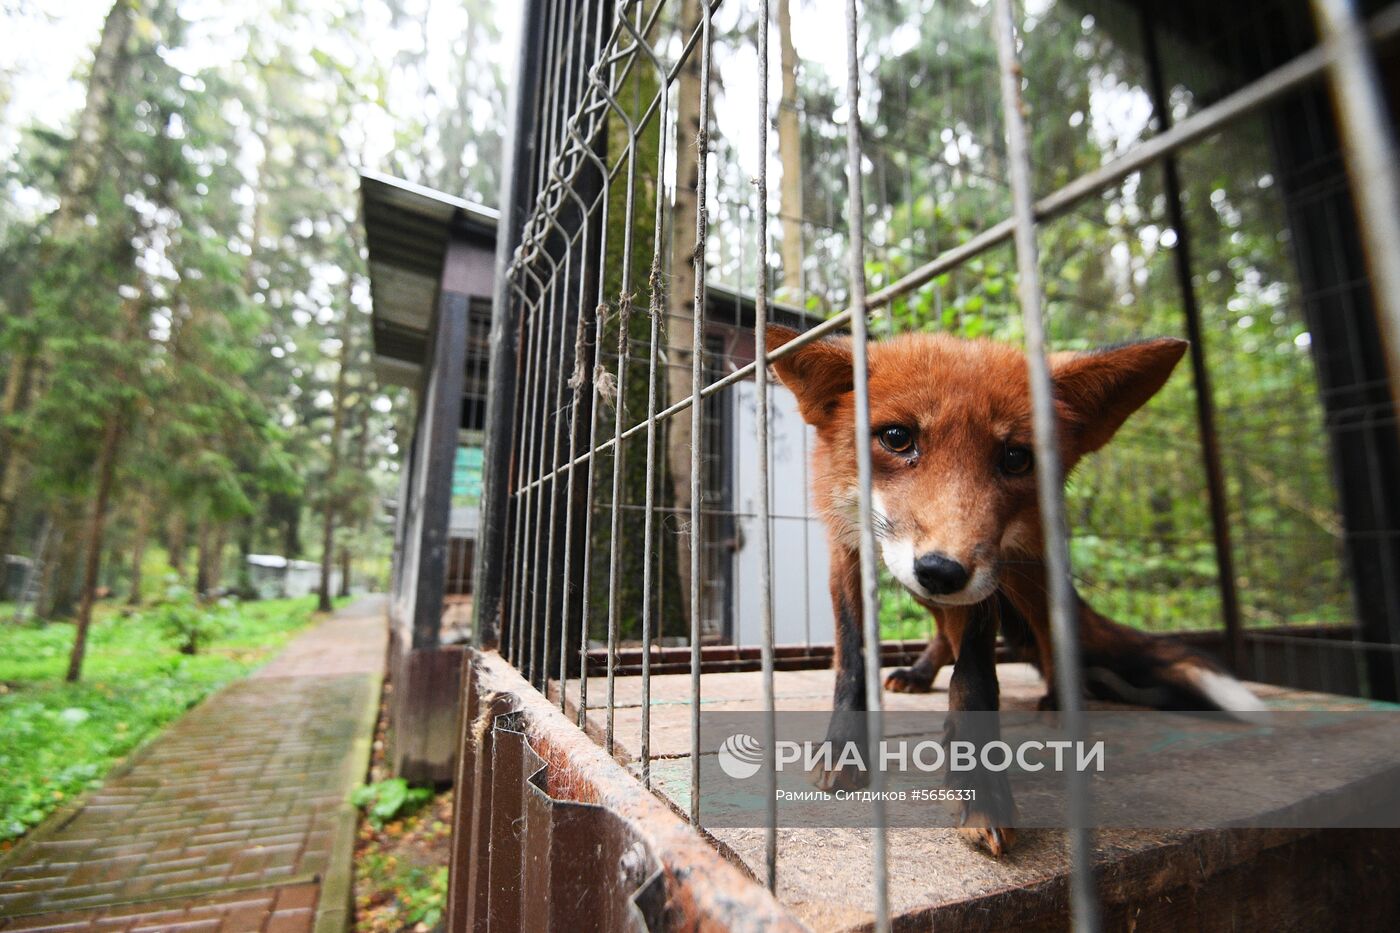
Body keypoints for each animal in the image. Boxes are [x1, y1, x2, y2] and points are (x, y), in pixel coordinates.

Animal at [767, 323, 1271, 851]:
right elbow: (851, 662)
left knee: (1055, 645)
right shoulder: (847, 551)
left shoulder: (989, 572)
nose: (942, 571)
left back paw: (1062, 702)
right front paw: (844, 749)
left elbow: (974, 680)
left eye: (1016, 458)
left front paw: (980, 785)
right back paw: (921, 674)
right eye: (897, 437)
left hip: (1029, 579)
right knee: (942, 631)